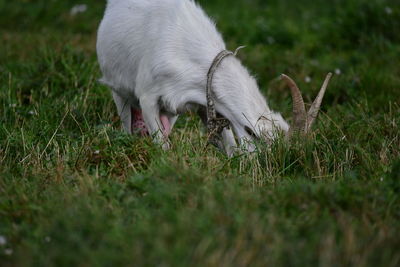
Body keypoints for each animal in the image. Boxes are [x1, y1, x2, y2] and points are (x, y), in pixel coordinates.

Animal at [96, 0, 332, 156]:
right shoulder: (148, 96)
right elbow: (162, 145)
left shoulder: (209, 104)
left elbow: (231, 146)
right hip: (119, 92)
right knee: (126, 121)